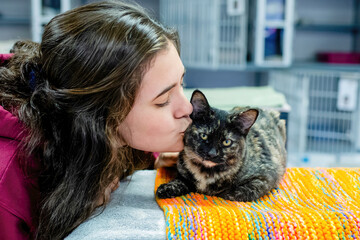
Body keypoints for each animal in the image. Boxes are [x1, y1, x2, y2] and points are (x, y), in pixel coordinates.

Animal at [156, 89, 288, 201]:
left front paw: (222, 193)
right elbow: (179, 181)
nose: (211, 153)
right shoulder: (183, 173)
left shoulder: (266, 177)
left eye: (226, 142)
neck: (206, 173)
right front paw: (166, 188)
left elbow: (238, 192)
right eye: (204, 135)